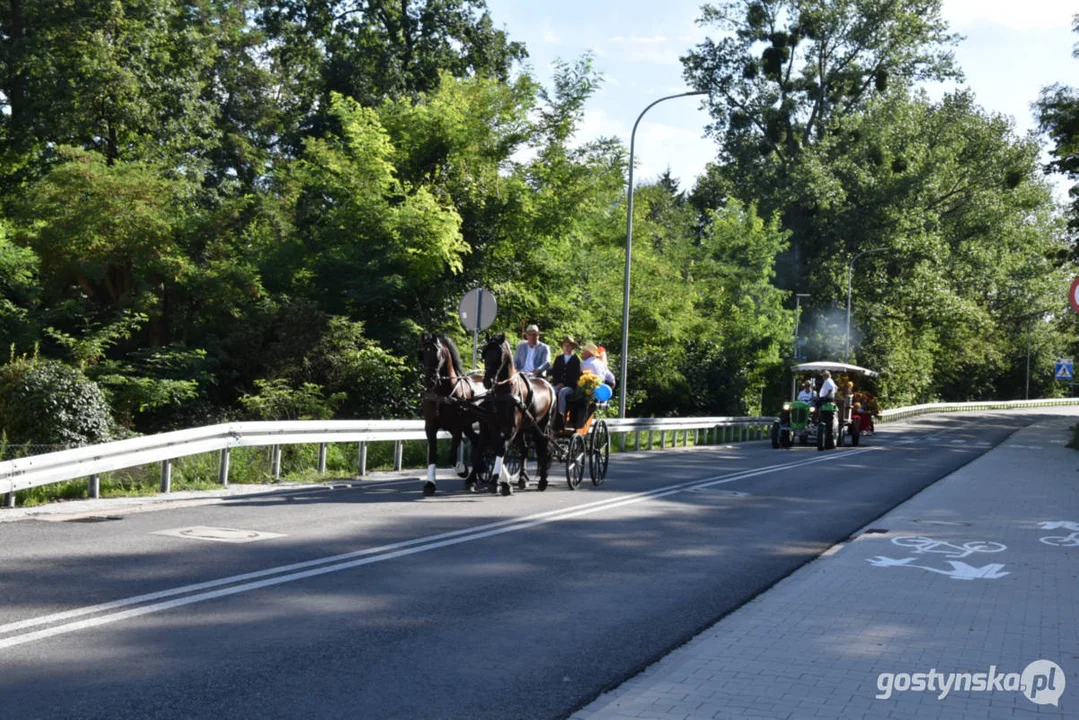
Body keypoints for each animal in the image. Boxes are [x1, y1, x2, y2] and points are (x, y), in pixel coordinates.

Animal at [418, 334, 487, 496]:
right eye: (422, 354)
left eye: (438, 355)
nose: (429, 381)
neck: (442, 393)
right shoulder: (430, 426)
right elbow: (432, 455)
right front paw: (429, 484)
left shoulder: (456, 428)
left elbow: (451, 457)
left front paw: (462, 470)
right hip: (468, 425)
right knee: (477, 441)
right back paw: (478, 472)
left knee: (483, 444)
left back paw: (473, 477)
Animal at [479, 334, 552, 496]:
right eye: (485, 354)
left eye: (500, 355)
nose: (487, 381)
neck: (505, 391)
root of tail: (547, 384)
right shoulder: (495, 426)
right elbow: (497, 448)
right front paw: (502, 482)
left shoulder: (511, 427)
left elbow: (502, 448)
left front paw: (497, 482)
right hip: (523, 428)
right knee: (524, 449)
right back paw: (523, 479)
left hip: (541, 425)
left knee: (543, 447)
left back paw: (543, 481)